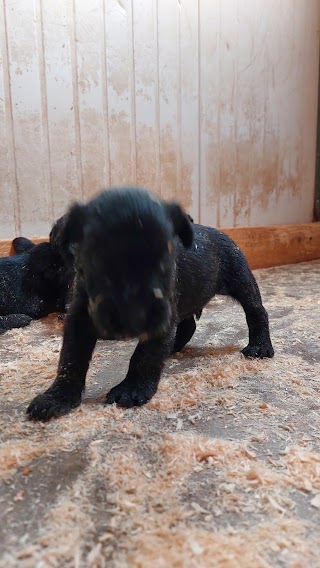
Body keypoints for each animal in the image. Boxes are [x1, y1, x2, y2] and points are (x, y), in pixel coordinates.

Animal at [26, 187, 272, 422]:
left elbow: (143, 356)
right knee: (188, 325)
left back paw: (260, 346)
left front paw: (132, 389)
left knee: (256, 312)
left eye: (165, 258)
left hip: (241, 280)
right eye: (98, 258)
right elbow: (71, 359)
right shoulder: (80, 319)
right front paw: (57, 397)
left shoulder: (160, 319)